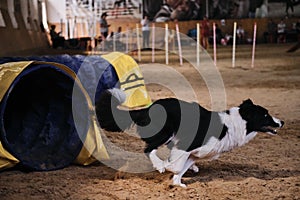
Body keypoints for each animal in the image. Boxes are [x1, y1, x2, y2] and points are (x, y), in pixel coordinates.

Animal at [96, 88, 284, 187]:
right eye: (265, 115)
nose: (281, 122)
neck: (235, 124)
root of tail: (148, 107)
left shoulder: (194, 153)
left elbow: (182, 168)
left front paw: (178, 184)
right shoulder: (186, 145)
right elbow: (176, 166)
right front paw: (167, 168)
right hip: (165, 133)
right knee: (148, 148)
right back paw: (159, 165)